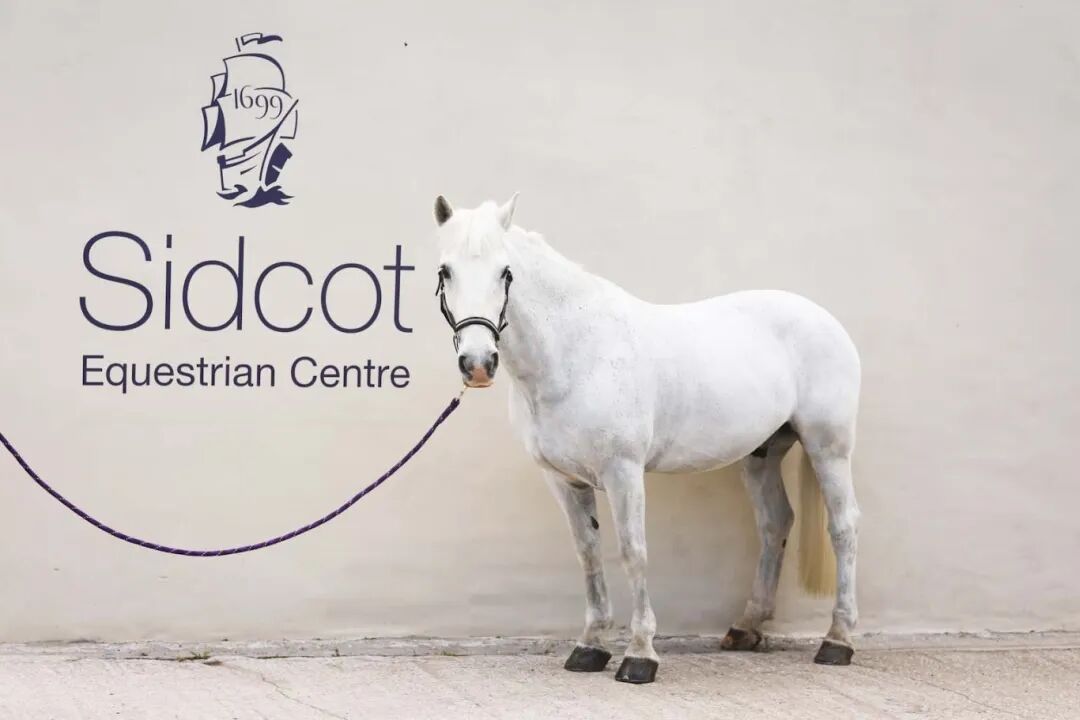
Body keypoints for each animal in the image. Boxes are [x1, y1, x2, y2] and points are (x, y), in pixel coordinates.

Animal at [431, 194, 861, 684]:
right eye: (445, 270)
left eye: (506, 272)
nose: (478, 363)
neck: (577, 352)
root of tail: (823, 319)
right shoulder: (563, 480)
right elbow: (588, 555)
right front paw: (590, 647)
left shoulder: (623, 471)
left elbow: (633, 552)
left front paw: (640, 655)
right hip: (762, 453)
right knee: (775, 523)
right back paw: (746, 627)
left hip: (829, 446)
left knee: (843, 527)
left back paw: (838, 641)